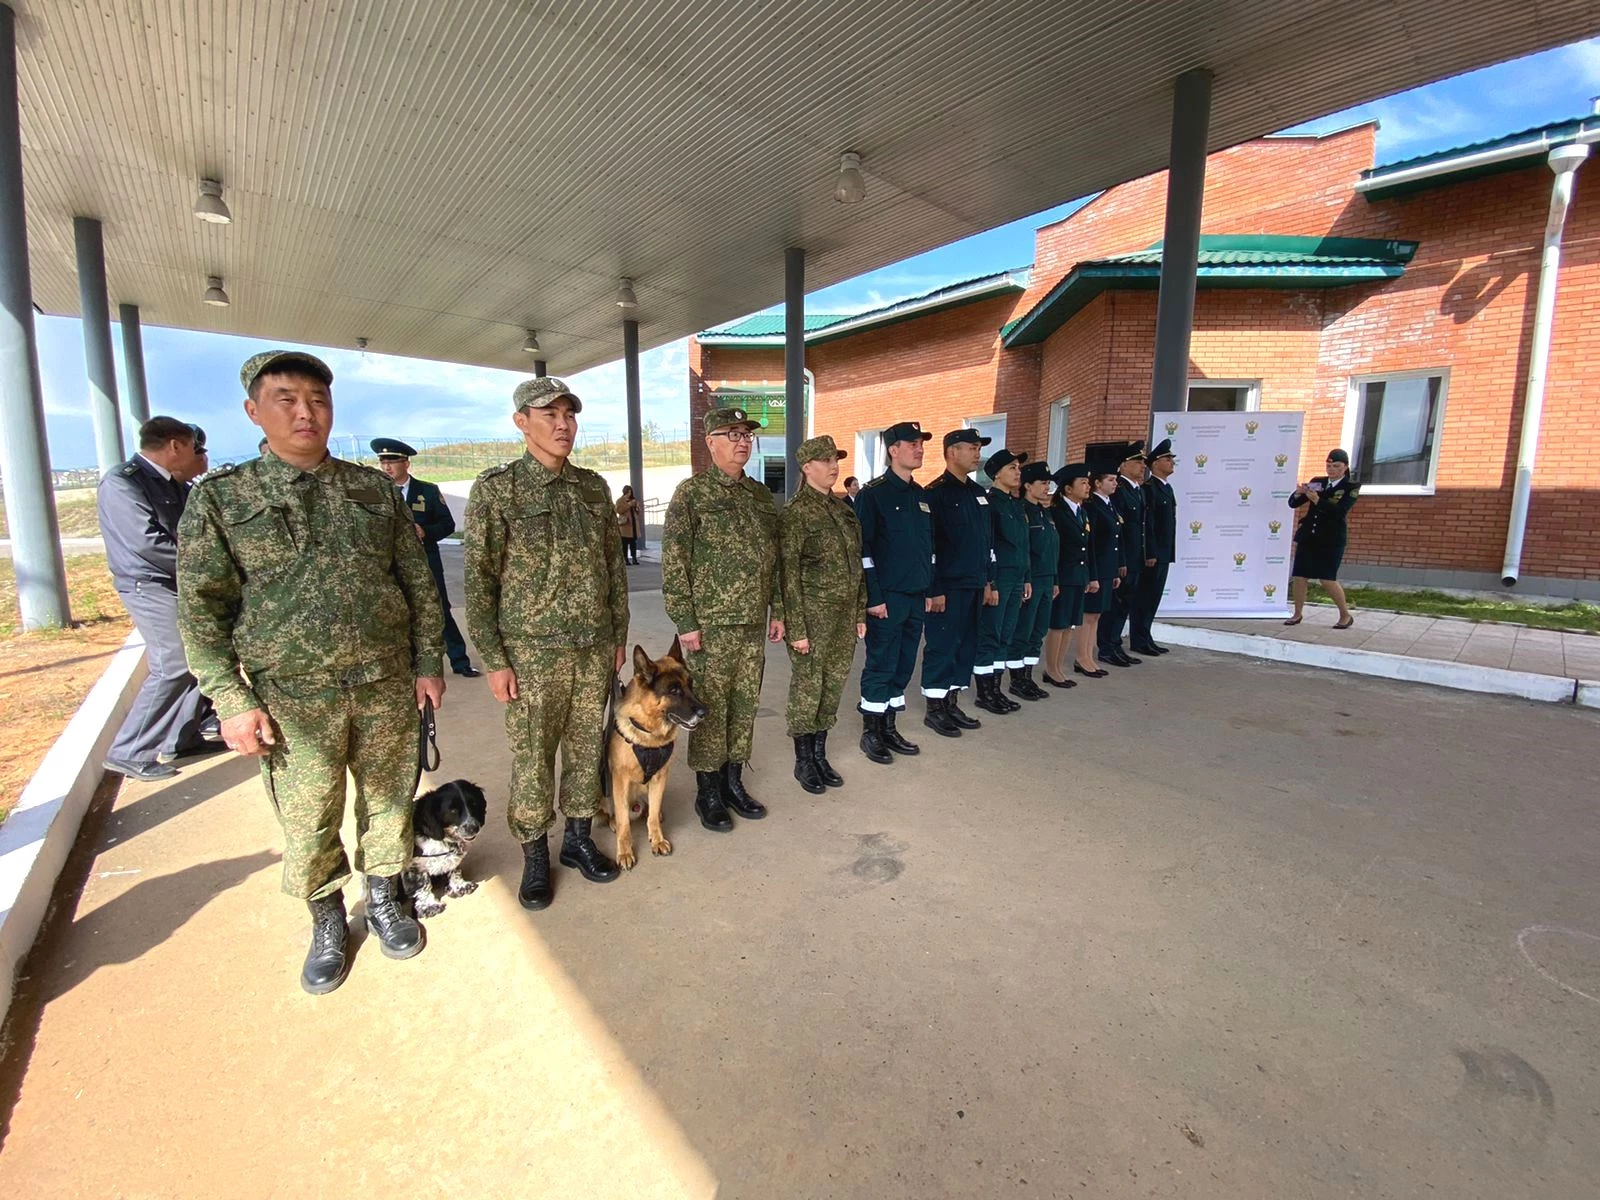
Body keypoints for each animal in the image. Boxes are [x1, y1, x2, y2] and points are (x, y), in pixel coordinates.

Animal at [400, 780, 486, 921]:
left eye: (473, 804)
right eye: (453, 810)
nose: (474, 828)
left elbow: (454, 869)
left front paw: (459, 886)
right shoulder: (412, 865)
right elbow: (422, 884)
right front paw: (429, 906)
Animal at [598, 643, 704, 870]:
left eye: (690, 685)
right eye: (674, 690)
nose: (705, 711)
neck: (649, 737)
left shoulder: (660, 777)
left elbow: (654, 813)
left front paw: (657, 840)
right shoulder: (620, 781)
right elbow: (624, 822)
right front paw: (625, 852)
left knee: (650, 809)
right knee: (612, 813)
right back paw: (613, 821)